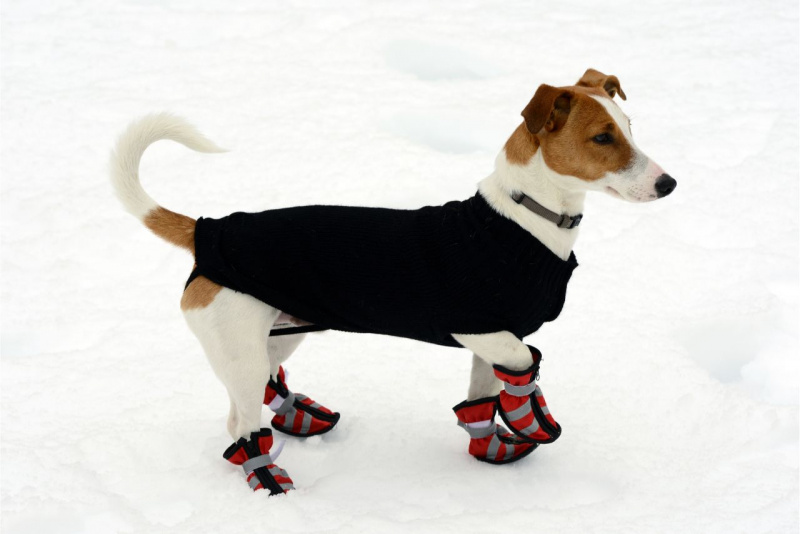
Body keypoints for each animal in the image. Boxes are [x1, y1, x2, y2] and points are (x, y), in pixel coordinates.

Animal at [111, 69, 676, 496]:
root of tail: (208, 230)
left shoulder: (489, 340)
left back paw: (297, 417)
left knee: (257, 391)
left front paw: (491, 444)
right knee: (241, 424)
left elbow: (483, 395)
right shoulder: (481, 330)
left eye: (630, 127)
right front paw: (531, 414)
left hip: (278, 331)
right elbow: (523, 363)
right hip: (240, 345)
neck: (522, 220)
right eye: (602, 137)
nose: (669, 183)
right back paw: (269, 477)